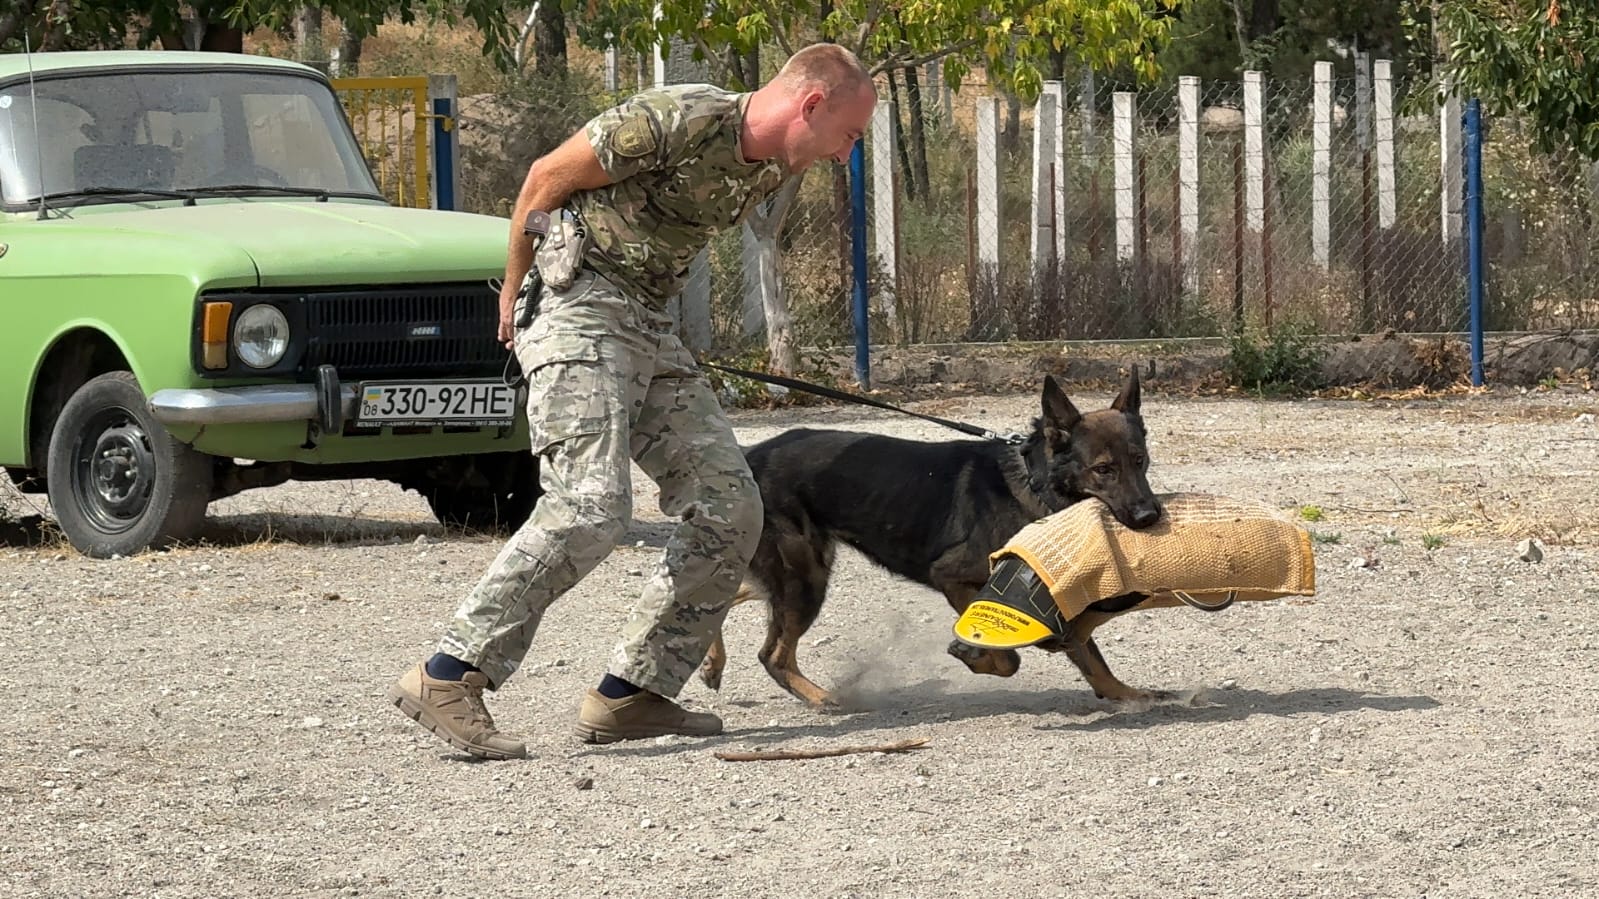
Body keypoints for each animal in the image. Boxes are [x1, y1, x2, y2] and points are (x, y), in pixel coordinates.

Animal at [706, 367, 1170, 703]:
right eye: (1103, 469)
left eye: (1140, 460)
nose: (1150, 516)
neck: (1035, 485)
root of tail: (751, 454)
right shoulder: (954, 577)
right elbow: (1009, 658)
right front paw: (979, 659)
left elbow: (1089, 655)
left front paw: (1121, 693)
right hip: (805, 579)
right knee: (772, 654)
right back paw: (822, 698)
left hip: (796, 572)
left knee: (728, 596)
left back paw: (712, 662)